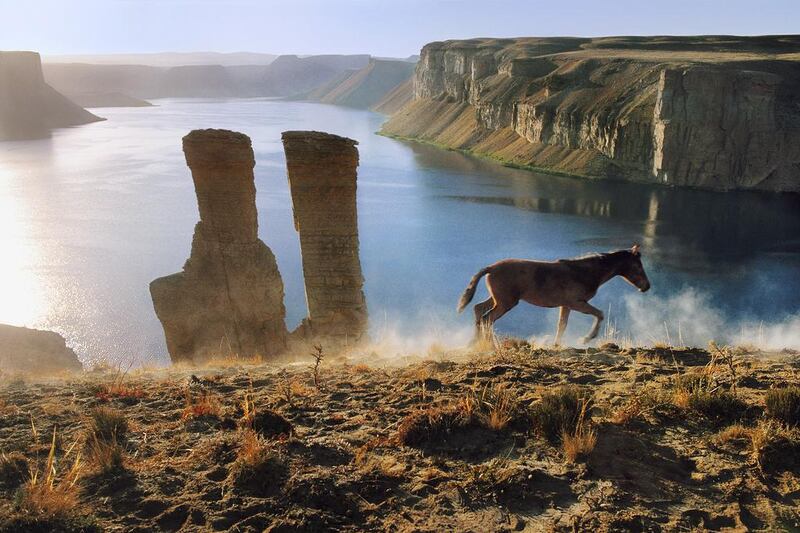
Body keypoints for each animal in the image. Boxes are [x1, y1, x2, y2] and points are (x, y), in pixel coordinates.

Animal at [456, 245, 648, 344]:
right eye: (638, 266)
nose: (646, 286)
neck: (585, 272)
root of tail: (491, 268)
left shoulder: (566, 305)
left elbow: (561, 325)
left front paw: (557, 345)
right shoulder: (577, 302)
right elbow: (599, 314)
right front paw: (586, 339)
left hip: (498, 299)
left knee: (479, 310)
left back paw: (474, 343)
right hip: (506, 302)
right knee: (487, 319)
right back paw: (489, 345)